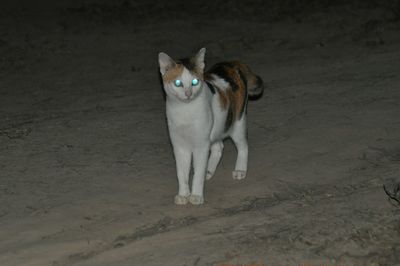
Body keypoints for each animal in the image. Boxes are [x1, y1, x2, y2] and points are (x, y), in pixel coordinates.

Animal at [158, 47, 264, 206]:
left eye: (195, 81)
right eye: (178, 83)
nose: (188, 93)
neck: (185, 110)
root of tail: (232, 63)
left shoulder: (201, 144)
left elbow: (198, 174)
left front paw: (196, 195)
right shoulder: (179, 146)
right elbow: (181, 173)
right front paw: (183, 194)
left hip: (237, 121)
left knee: (243, 146)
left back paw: (240, 170)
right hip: (217, 127)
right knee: (219, 146)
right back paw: (209, 171)